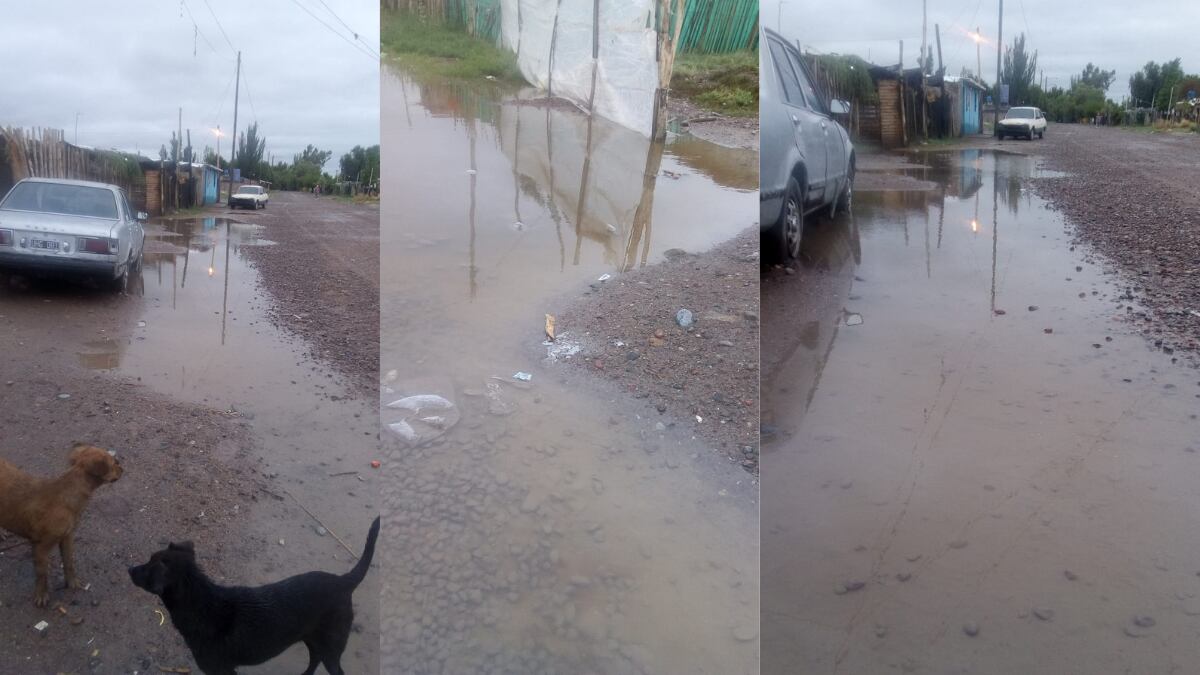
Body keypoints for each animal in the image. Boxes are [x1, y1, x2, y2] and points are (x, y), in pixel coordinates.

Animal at [0, 441, 123, 605]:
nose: (123, 468)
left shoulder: (67, 537)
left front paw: (72, 583)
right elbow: (42, 575)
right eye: (114, 462)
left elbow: (69, 562)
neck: (67, 494)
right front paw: (41, 595)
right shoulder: (40, 547)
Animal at [130, 514, 379, 672]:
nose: (129, 569)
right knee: (314, 659)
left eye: (148, 568)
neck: (202, 604)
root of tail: (344, 581)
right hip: (312, 638)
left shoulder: (220, 670)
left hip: (332, 646)